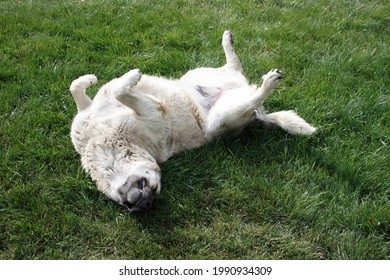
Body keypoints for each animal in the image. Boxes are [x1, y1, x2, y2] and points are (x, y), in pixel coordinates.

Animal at [69, 30, 314, 212]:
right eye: (131, 204)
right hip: (223, 115)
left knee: (235, 66)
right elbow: (119, 91)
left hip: (196, 75)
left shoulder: (87, 114)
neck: (103, 143)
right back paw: (269, 82)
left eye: (150, 196)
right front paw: (130, 77)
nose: (146, 202)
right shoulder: (151, 111)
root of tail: (259, 116)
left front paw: (90, 79)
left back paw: (228, 40)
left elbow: (78, 87)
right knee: (253, 93)